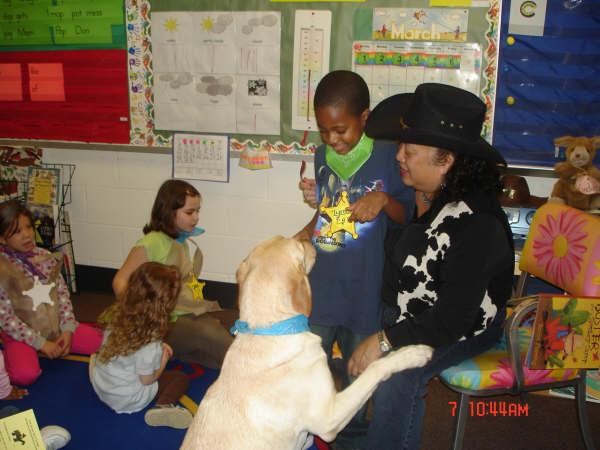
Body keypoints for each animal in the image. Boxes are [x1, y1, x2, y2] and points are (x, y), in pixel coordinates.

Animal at [178, 237, 432, 448]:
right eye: (297, 244)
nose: (310, 239)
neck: (270, 329)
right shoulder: (329, 418)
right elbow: (375, 369)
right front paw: (413, 353)